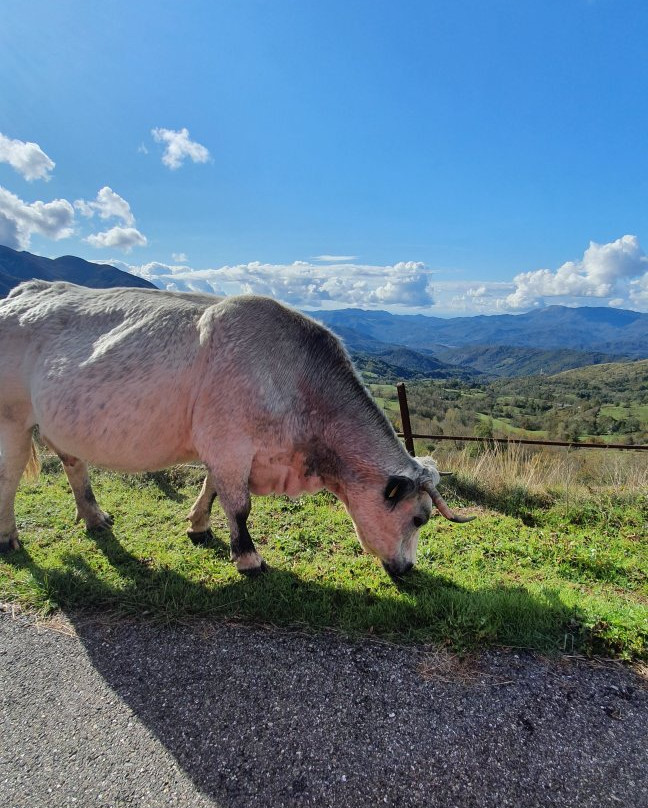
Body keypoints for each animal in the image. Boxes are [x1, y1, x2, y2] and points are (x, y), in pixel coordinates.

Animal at [1, 280, 476, 576]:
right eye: (419, 518)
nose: (409, 569)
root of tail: (25, 290)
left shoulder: (228, 446)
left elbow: (213, 489)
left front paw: (198, 525)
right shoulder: (229, 442)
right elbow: (240, 505)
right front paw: (248, 558)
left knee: (72, 462)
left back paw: (94, 517)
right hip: (12, 417)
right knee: (9, 476)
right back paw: (8, 538)